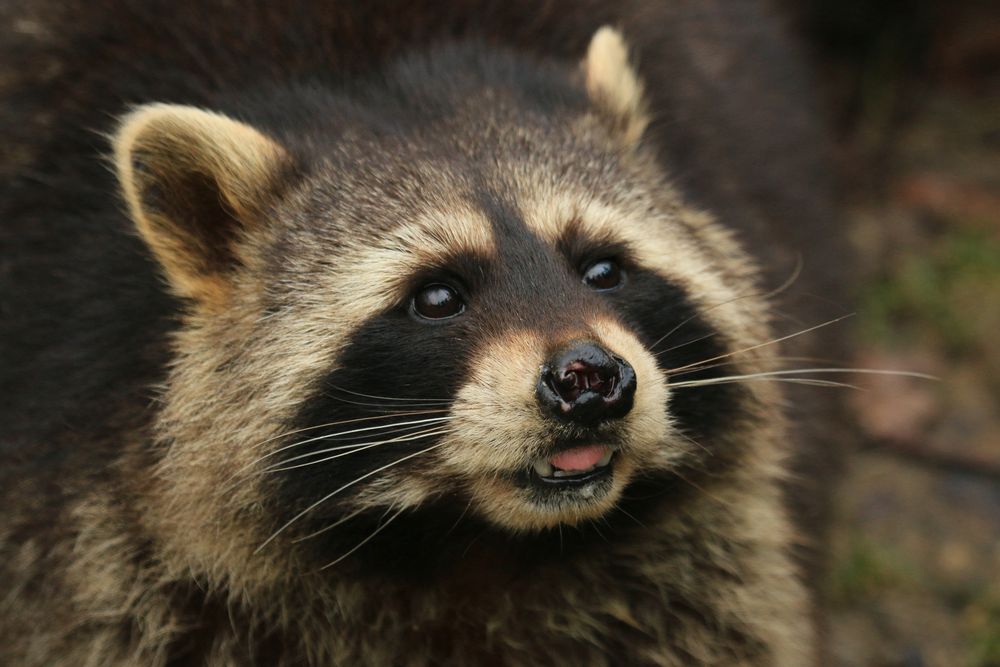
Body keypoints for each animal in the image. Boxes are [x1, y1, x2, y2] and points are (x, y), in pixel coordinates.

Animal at [0, 1, 848, 667]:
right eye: (437, 296)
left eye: (603, 269)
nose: (591, 380)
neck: (468, 545)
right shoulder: (102, 555)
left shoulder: (700, 571)